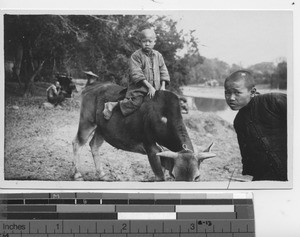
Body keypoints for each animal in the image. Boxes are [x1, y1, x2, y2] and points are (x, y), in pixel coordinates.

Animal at [72, 83, 216, 181]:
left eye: (197, 177)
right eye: (174, 175)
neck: (165, 120)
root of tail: (90, 89)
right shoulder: (151, 150)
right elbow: (160, 177)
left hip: (101, 130)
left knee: (94, 146)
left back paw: (102, 175)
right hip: (87, 123)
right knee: (77, 143)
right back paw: (77, 174)